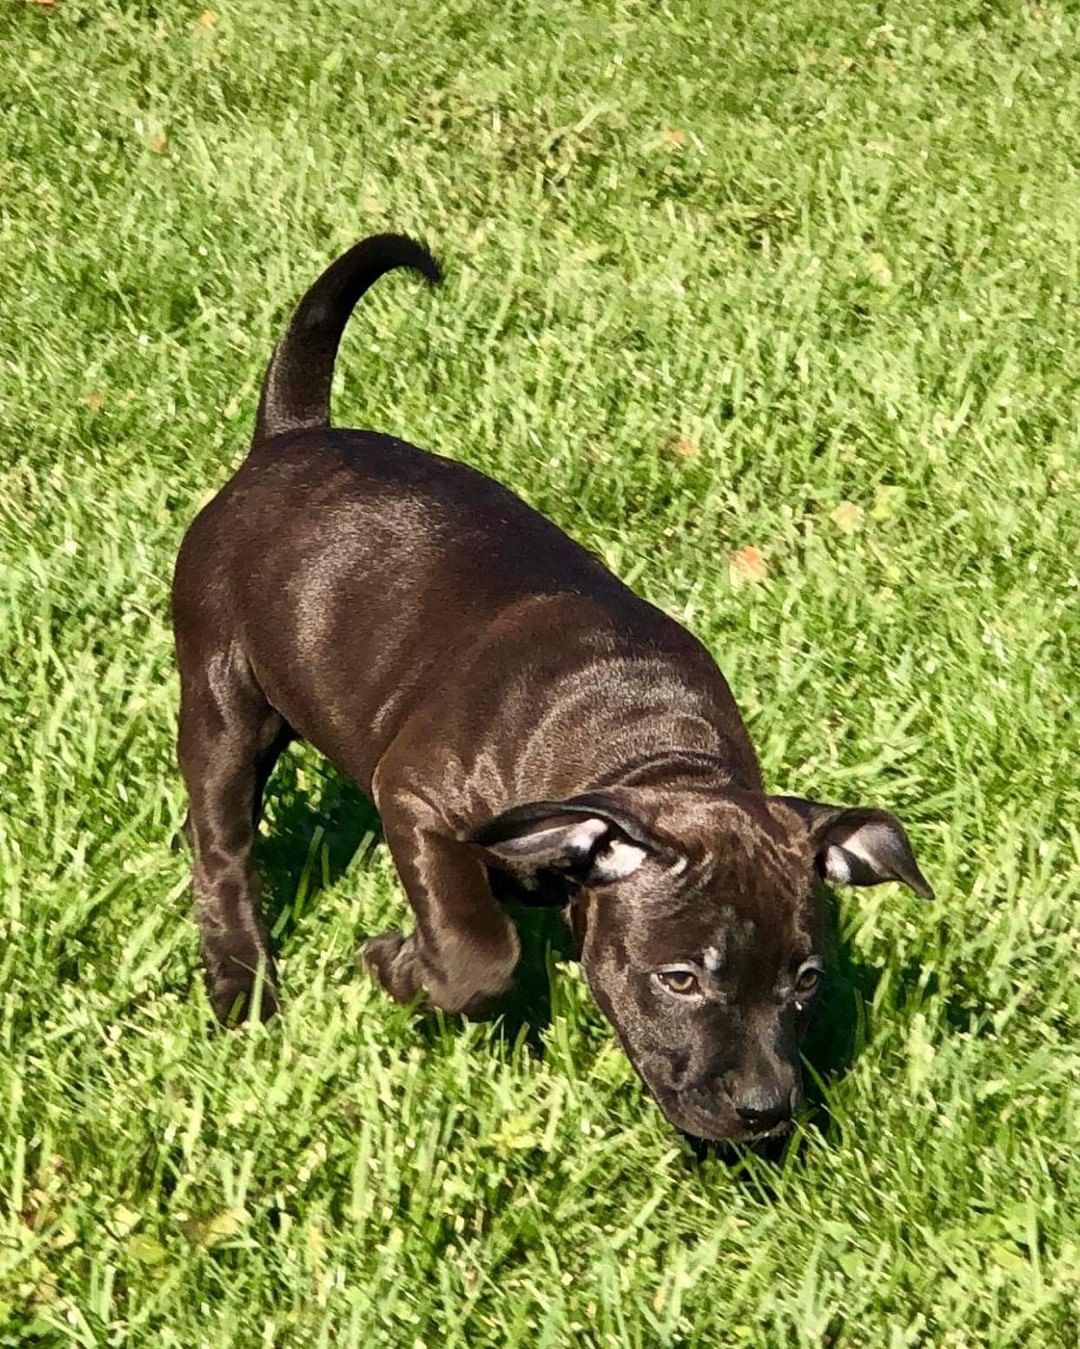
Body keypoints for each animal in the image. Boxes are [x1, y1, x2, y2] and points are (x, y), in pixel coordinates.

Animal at [172, 232, 933, 1138]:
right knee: (222, 846)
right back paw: (241, 978)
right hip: (220, 700)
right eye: (680, 978)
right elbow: (479, 950)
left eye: (806, 980)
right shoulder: (418, 799)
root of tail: (291, 435)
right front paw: (399, 963)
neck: (645, 748)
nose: (764, 1110)